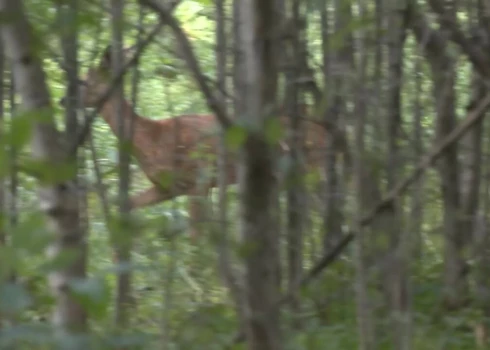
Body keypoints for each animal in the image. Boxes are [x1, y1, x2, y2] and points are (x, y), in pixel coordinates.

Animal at [61, 45, 330, 239]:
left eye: (84, 81)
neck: (151, 138)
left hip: (311, 164)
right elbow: (128, 205)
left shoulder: (198, 180)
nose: (63, 99)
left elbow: (195, 236)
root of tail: (323, 123)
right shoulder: (167, 187)